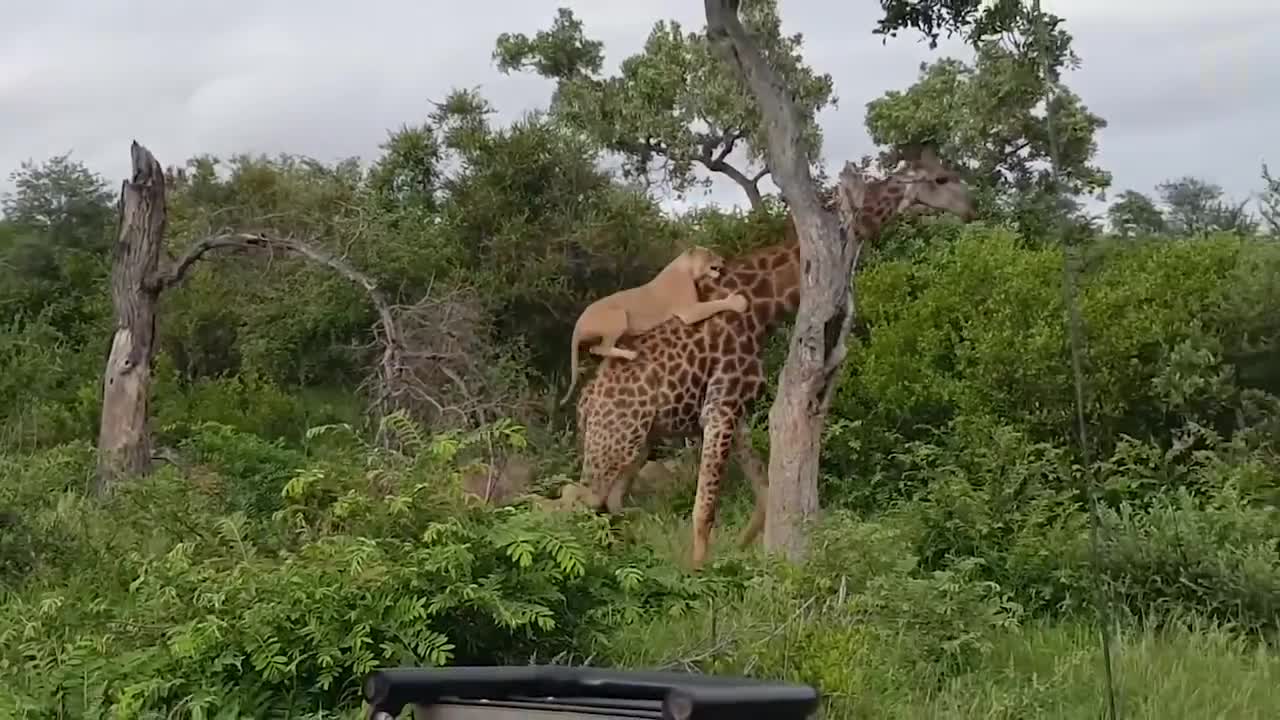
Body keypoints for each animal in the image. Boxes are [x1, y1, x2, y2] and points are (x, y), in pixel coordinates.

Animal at [576, 148, 972, 568]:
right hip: (614, 442)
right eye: (941, 179)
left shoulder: (737, 409)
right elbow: (706, 509)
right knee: (575, 501)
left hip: (637, 445)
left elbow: (763, 496)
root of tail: (584, 405)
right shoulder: (721, 405)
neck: (763, 307)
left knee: (608, 504)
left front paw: (741, 554)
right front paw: (699, 572)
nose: (971, 208)